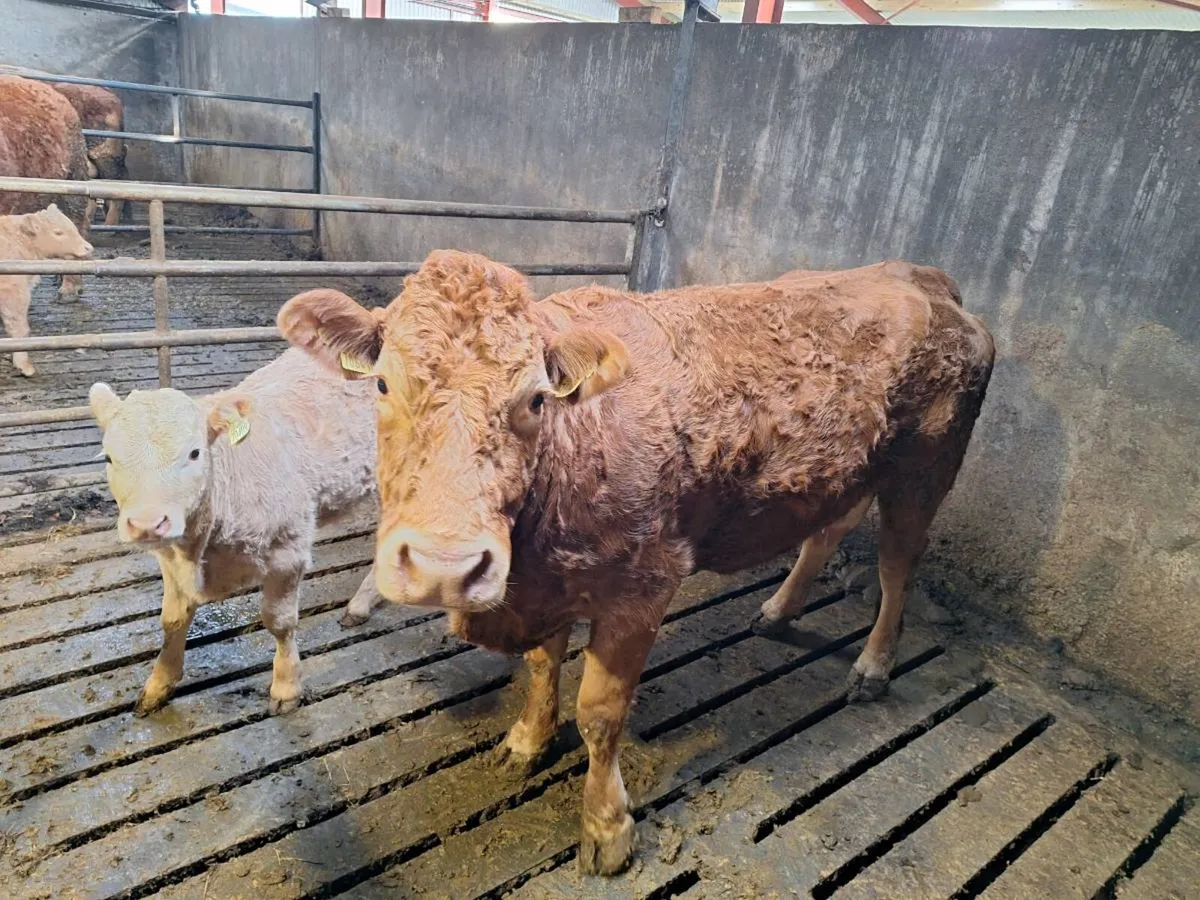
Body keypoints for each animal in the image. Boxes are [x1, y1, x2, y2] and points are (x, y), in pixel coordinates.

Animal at [88, 348, 385, 718]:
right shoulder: (169, 557)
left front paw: (286, 686)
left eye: (195, 453)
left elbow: (279, 621)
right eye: (109, 458)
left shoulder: (288, 550)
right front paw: (159, 684)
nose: (146, 524)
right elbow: (172, 619)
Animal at [277, 252, 996, 875]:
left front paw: (607, 828)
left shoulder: (642, 588)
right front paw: (527, 741)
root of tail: (922, 278)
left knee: (898, 564)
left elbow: (600, 713)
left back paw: (873, 666)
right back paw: (780, 610)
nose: (444, 566)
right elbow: (543, 669)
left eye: (534, 399)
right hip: (841, 472)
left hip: (925, 469)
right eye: (381, 383)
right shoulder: (545, 588)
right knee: (827, 532)